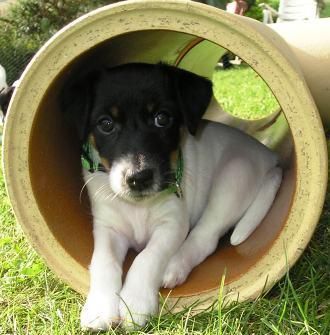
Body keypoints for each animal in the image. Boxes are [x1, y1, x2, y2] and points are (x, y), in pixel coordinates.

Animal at [62, 63, 284, 330]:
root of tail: (271, 158)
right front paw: (100, 308)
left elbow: (146, 258)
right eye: (105, 124)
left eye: (162, 118)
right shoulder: (107, 228)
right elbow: (104, 261)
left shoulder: (172, 225)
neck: (139, 206)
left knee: (205, 237)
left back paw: (174, 266)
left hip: (234, 176)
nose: (139, 178)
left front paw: (134, 304)